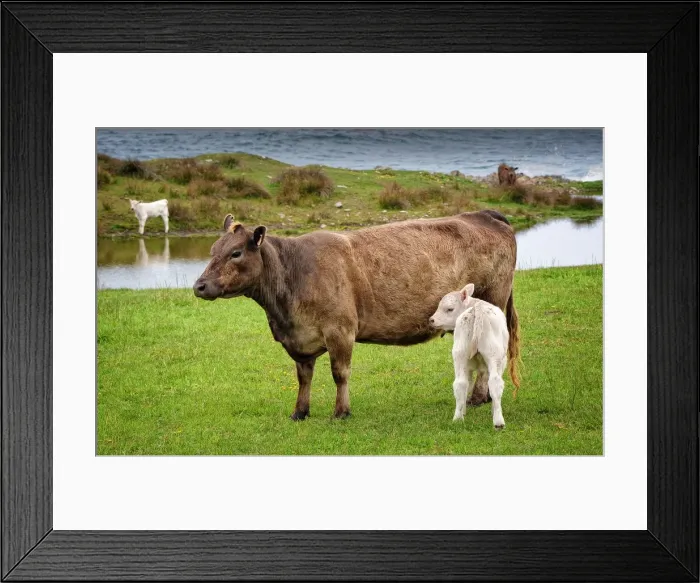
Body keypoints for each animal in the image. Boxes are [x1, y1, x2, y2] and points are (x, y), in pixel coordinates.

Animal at [429, 283, 512, 428]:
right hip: (495, 355)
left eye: (449, 309)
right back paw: (498, 422)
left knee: (460, 384)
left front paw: (463, 411)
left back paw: (458, 418)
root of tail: (476, 310)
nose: (431, 320)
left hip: (459, 354)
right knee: (495, 382)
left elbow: (467, 383)